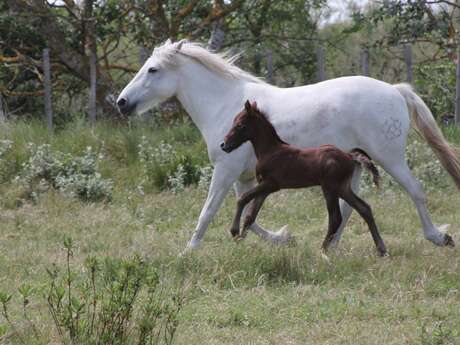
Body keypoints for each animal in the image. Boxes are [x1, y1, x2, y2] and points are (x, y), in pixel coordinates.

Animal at [221, 99, 386, 255]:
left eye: (240, 125)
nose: (224, 145)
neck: (270, 151)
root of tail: (349, 156)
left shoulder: (271, 184)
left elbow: (242, 199)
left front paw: (234, 232)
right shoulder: (265, 189)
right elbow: (250, 216)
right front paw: (240, 241)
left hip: (330, 188)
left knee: (335, 218)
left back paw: (323, 250)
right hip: (343, 188)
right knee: (364, 208)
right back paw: (381, 250)